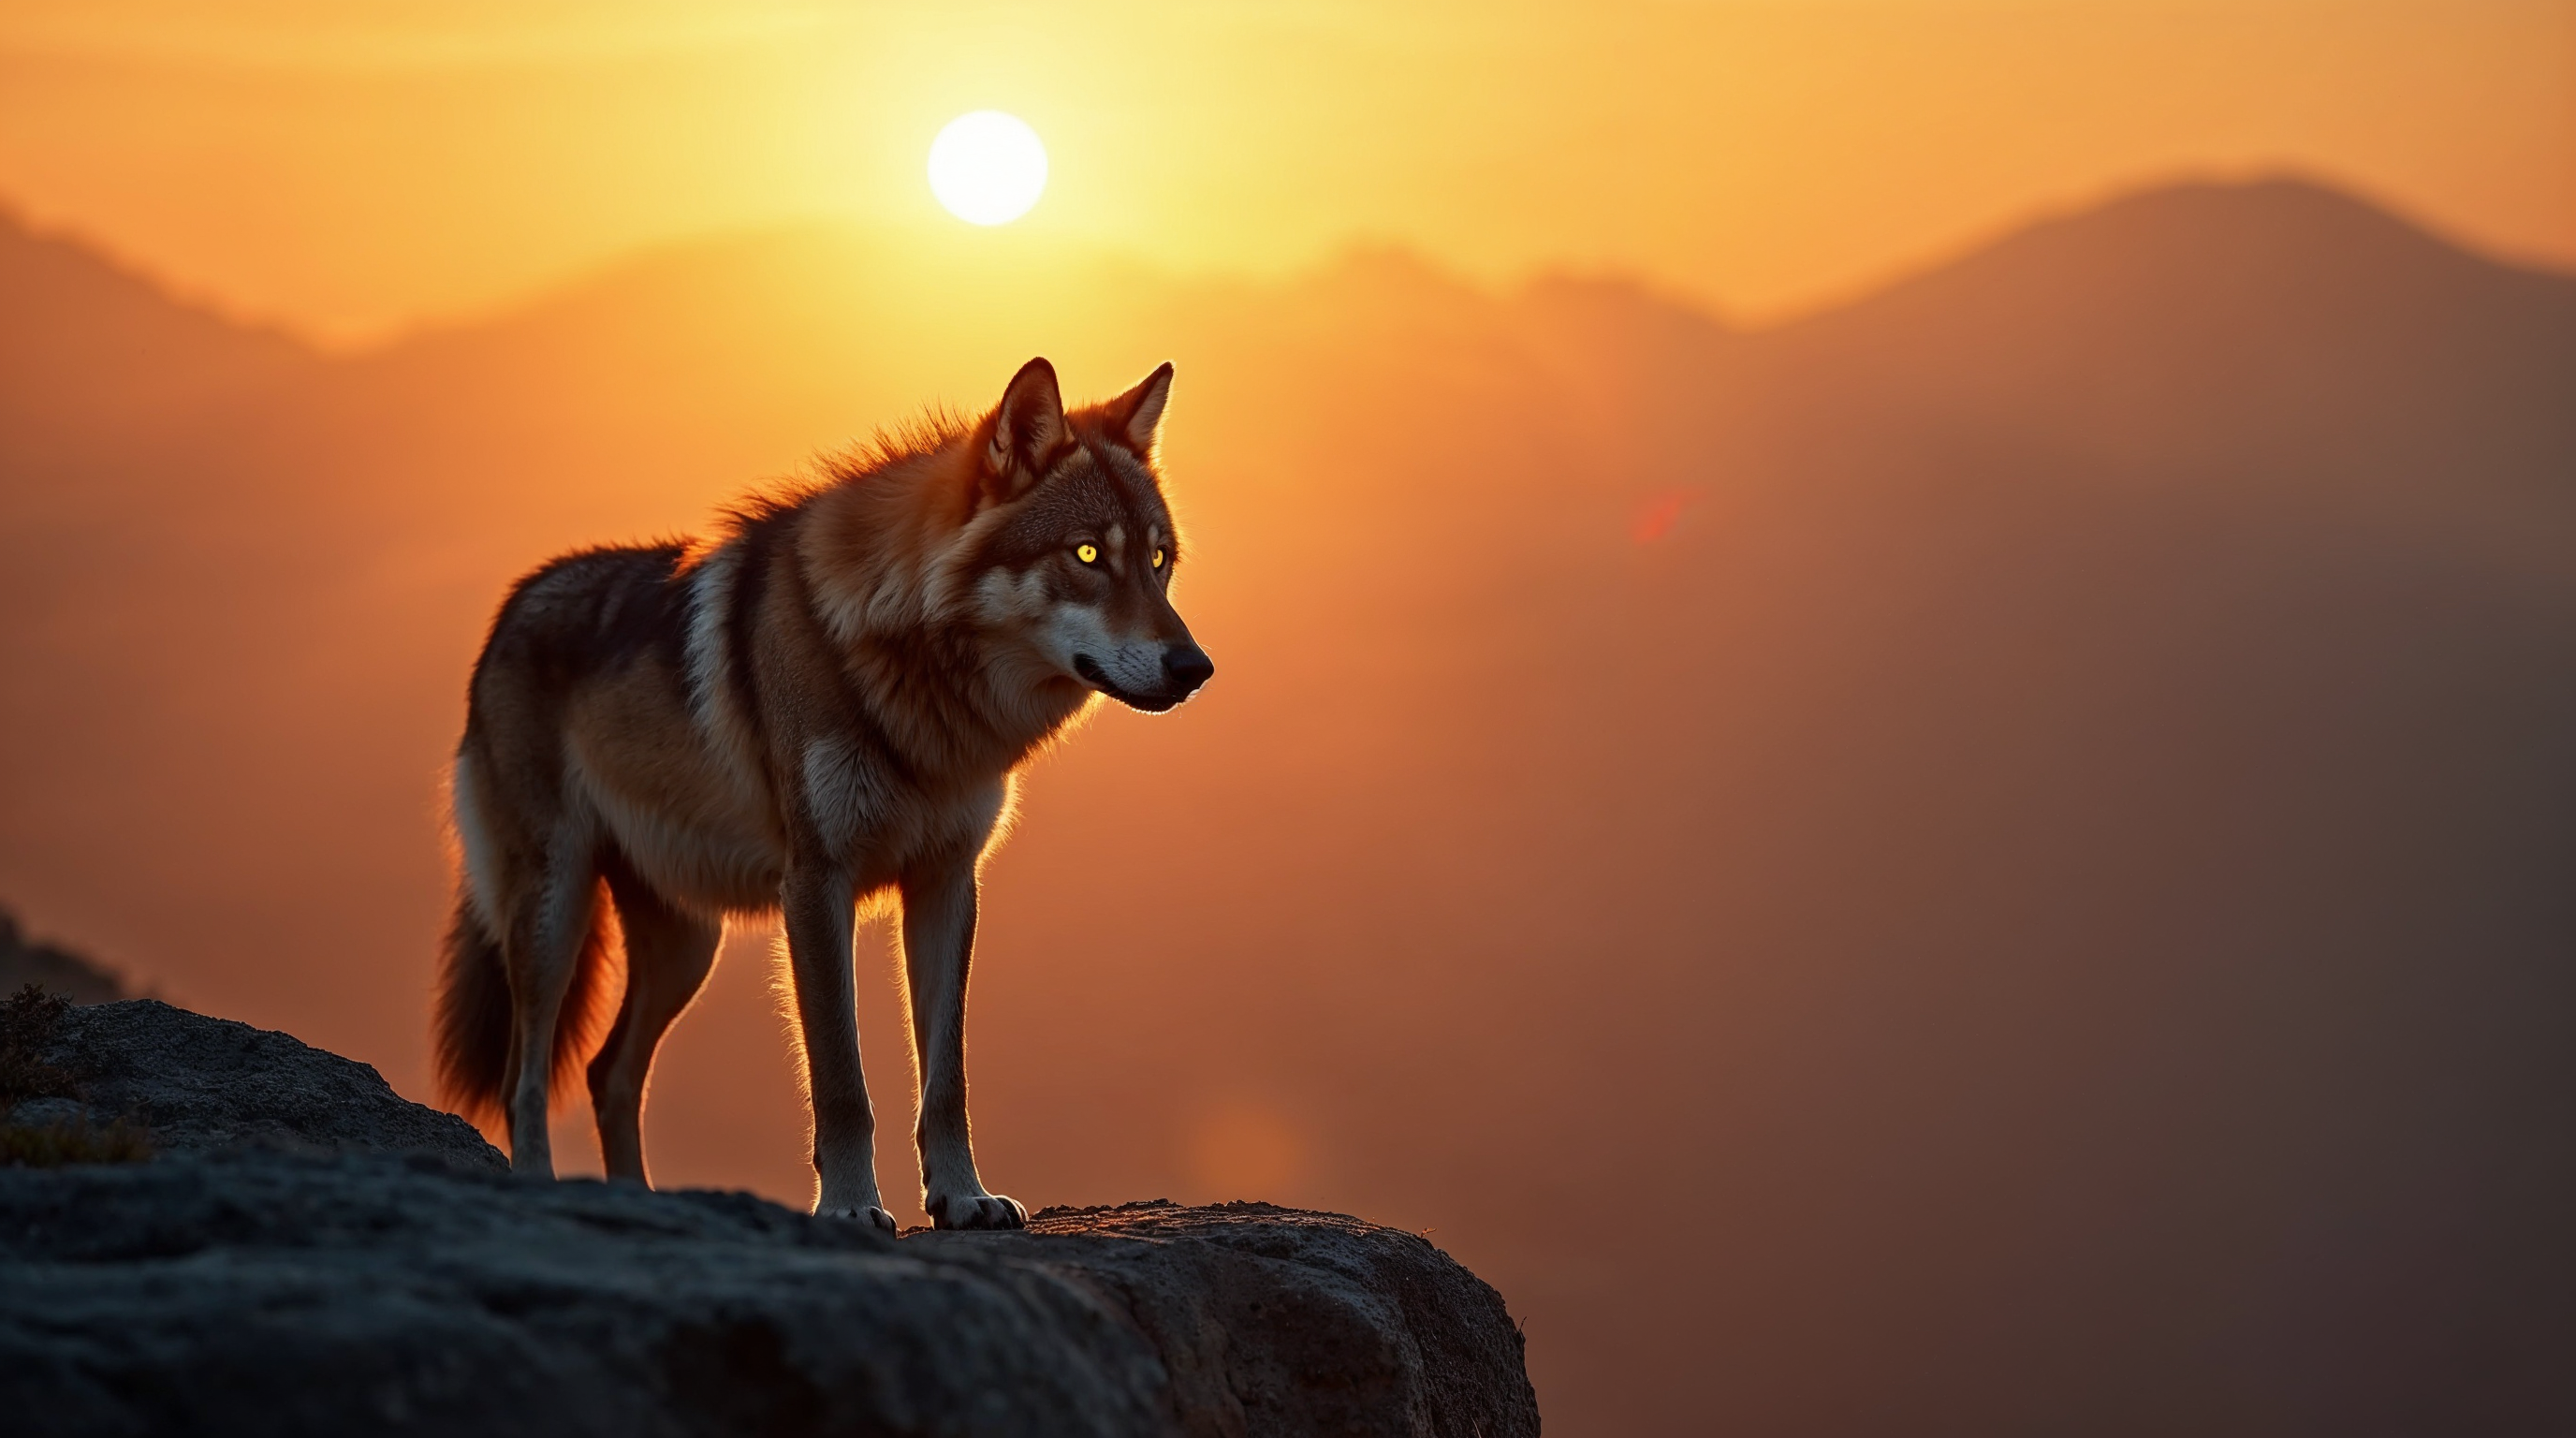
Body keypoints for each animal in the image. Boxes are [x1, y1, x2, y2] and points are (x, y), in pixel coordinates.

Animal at [433, 358, 1211, 1233]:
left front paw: (964, 1197)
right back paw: (539, 1190)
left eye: (1159, 562)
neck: (920, 699)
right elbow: (842, 1082)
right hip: (556, 913)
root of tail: (511, 607)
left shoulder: (946, 884)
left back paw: (639, 1202)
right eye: (1086, 554)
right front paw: (847, 1208)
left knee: (608, 1073)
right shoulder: (815, 886)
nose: (1195, 667)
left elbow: (947, 1079)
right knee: (523, 1077)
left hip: (685, 946)